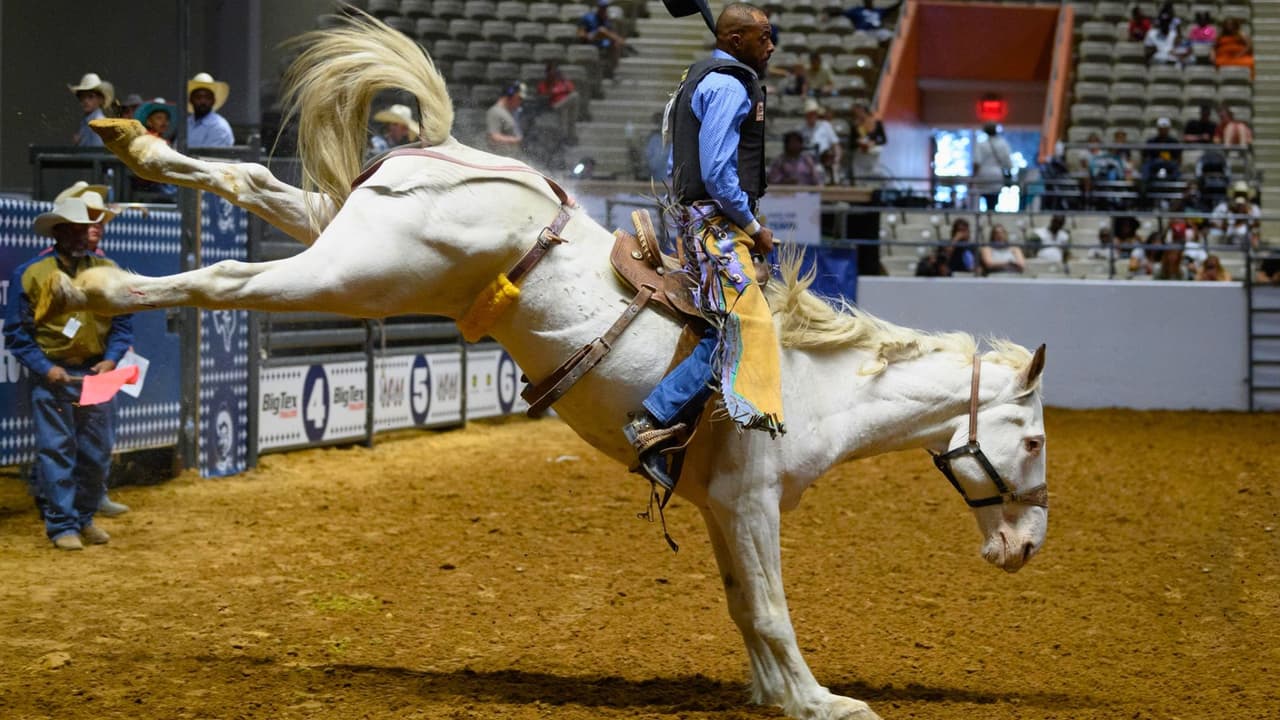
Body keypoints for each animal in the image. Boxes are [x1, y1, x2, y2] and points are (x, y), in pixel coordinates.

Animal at [44, 16, 1049, 720]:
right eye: (1035, 440)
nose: (1028, 548)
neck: (815, 383)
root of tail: (449, 152)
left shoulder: (720, 504)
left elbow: (742, 606)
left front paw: (774, 694)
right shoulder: (753, 497)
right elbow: (770, 608)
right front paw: (819, 700)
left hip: (352, 236)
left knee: (252, 185)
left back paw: (134, 145)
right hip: (353, 275)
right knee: (225, 277)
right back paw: (95, 287)